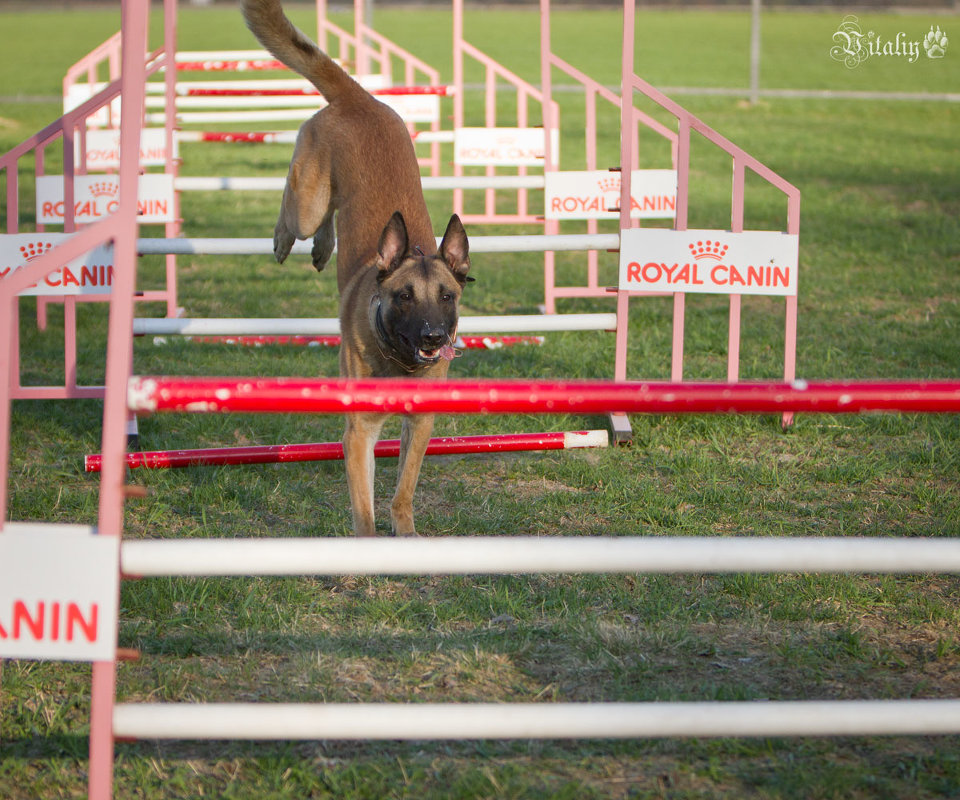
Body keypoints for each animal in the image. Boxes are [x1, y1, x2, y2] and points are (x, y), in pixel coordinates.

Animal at [240, 0, 472, 540]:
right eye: (404, 296)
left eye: (447, 296)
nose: (433, 337)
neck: (398, 361)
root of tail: (358, 98)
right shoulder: (359, 431)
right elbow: (363, 508)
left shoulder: (420, 423)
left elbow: (403, 488)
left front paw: (405, 530)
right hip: (307, 193)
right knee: (297, 211)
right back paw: (288, 239)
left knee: (327, 219)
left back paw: (325, 247)